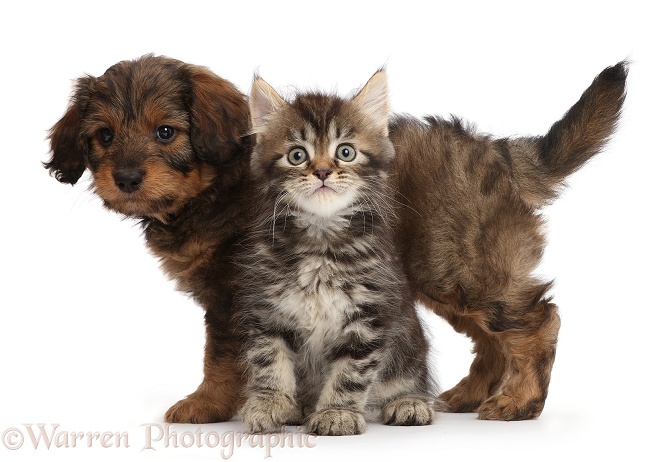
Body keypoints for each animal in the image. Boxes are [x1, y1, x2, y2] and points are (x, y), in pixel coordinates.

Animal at [44, 54, 252, 422]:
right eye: (105, 135)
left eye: (165, 132)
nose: (126, 179)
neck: (214, 192)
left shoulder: (232, 297)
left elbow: (220, 357)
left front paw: (206, 403)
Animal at [236, 72, 434, 436]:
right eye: (297, 156)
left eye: (345, 152)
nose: (323, 172)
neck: (321, 238)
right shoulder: (267, 309)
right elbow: (269, 359)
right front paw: (268, 404)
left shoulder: (369, 316)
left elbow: (351, 373)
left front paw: (336, 413)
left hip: (409, 344)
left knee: (407, 380)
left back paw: (409, 403)